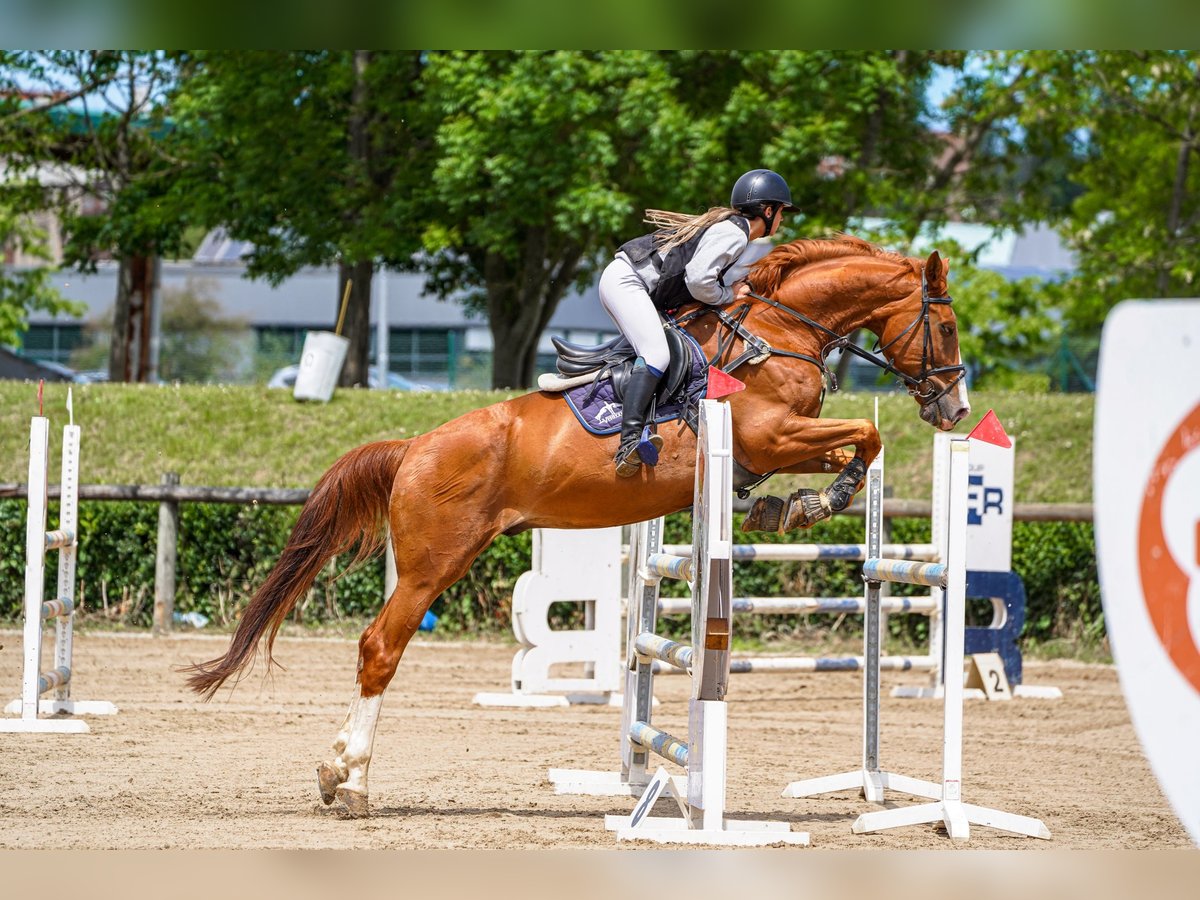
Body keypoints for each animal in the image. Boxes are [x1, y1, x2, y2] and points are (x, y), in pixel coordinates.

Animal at [182, 232, 969, 816]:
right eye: (948, 325)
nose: (955, 409)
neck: (777, 333)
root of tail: (413, 446)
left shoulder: (784, 442)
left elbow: (854, 444)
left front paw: (793, 502)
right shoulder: (768, 436)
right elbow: (865, 437)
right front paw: (815, 501)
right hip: (436, 561)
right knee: (381, 647)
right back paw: (348, 781)